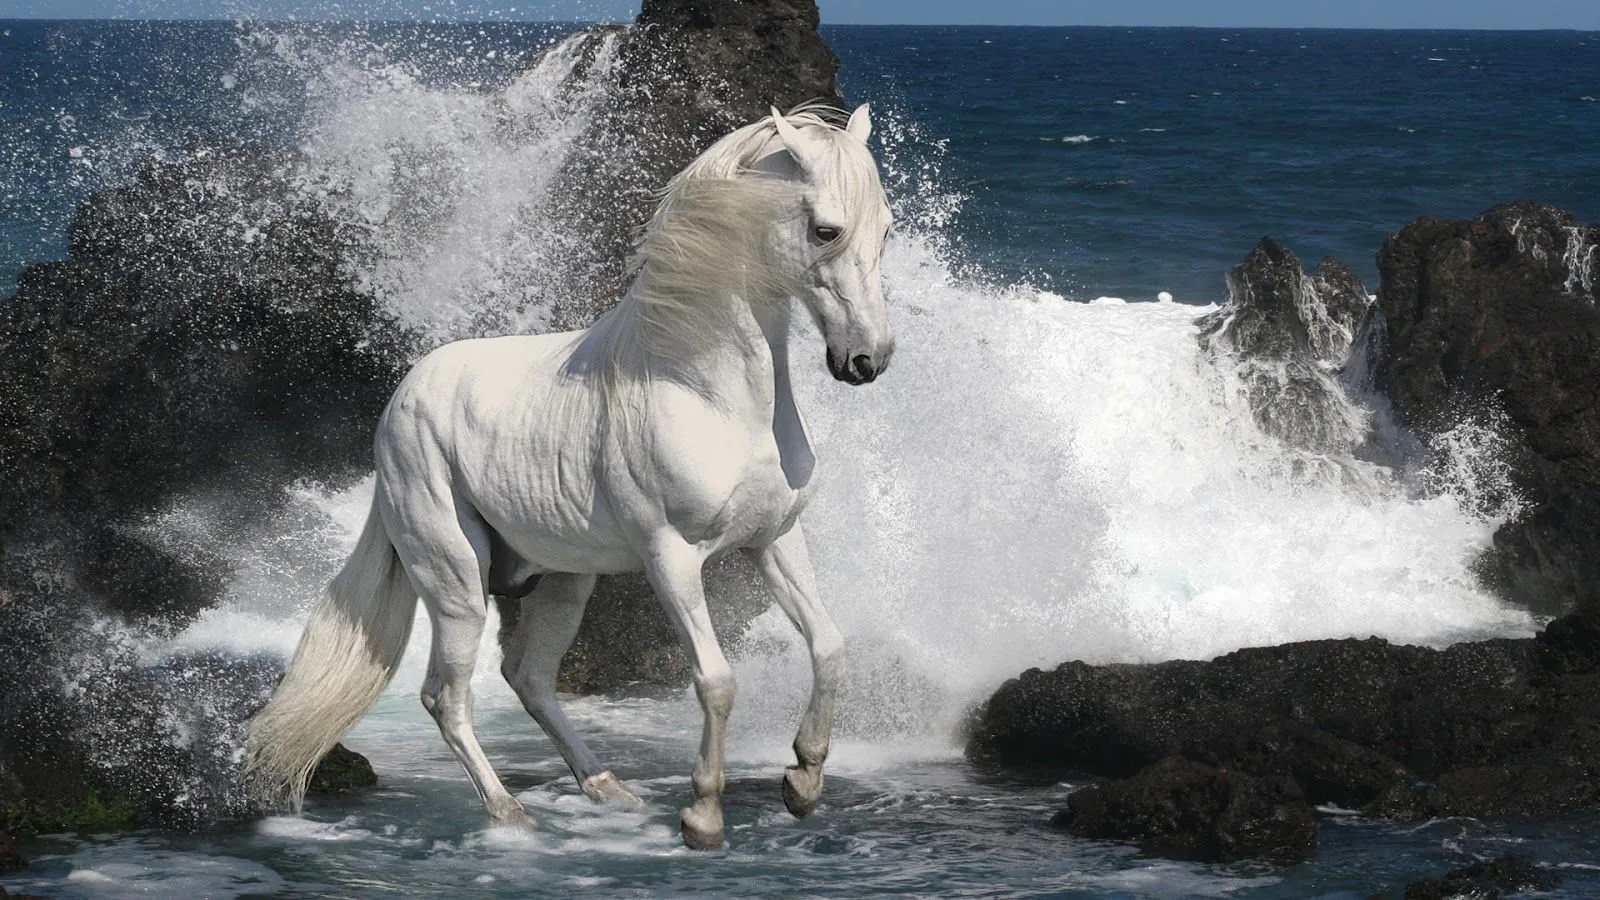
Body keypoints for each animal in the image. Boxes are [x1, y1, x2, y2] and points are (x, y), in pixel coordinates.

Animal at [244, 103, 894, 851]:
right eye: (826, 229)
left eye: (886, 229)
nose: (867, 360)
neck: (709, 391)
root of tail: (401, 401)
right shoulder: (671, 559)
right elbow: (716, 680)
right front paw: (702, 817)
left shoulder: (775, 540)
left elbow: (829, 646)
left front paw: (803, 782)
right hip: (456, 583)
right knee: (447, 695)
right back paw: (509, 813)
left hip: (563, 580)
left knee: (526, 677)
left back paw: (607, 787)